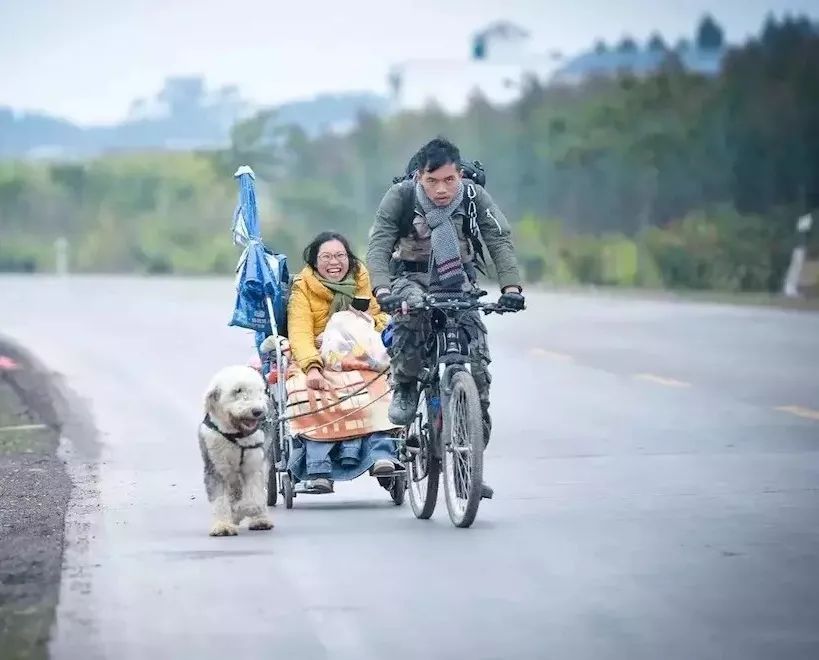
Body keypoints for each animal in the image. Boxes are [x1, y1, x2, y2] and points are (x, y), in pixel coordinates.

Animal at [197, 366, 274, 536]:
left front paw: (238, 512)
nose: (257, 411)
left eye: (259, 390)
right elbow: (219, 498)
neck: (236, 435)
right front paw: (222, 526)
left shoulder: (254, 464)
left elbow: (254, 498)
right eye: (237, 390)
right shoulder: (215, 466)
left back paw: (261, 521)